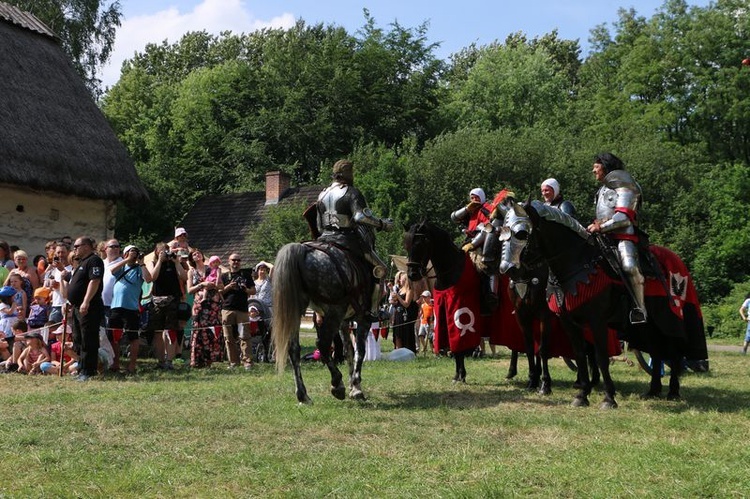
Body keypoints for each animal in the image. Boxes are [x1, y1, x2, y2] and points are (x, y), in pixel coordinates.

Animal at [274, 240, 376, 404]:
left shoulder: (344, 322)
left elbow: (348, 350)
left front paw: (353, 386)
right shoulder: (362, 319)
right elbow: (360, 351)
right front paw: (356, 388)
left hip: (297, 312)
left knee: (294, 349)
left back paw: (303, 395)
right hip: (334, 312)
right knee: (322, 344)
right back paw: (337, 384)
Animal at [502, 201, 708, 408]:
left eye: (521, 234)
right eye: (503, 234)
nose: (511, 269)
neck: (577, 263)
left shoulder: (595, 321)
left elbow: (600, 357)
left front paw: (608, 397)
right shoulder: (568, 322)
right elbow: (579, 354)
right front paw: (581, 395)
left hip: (670, 318)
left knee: (674, 351)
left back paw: (673, 391)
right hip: (649, 325)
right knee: (657, 350)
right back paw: (654, 390)